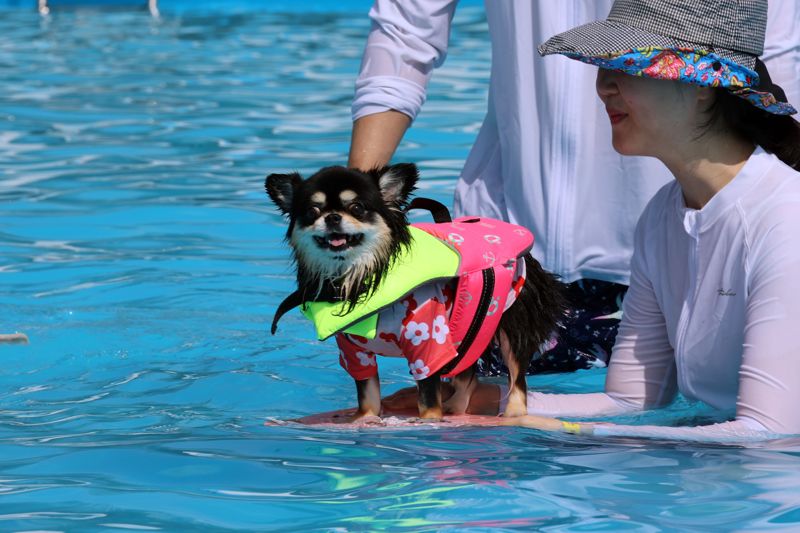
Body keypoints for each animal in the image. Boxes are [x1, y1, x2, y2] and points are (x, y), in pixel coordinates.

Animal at [266, 162, 564, 420]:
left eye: (358, 207)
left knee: (517, 375)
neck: (359, 275)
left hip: (511, 320)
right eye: (312, 212)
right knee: (466, 376)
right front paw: (365, 420)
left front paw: (429, 421)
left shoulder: (428, 343)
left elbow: (428, 397)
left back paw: (513, 413)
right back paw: (456, 408)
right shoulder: (355, 352)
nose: (332, 217)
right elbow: (368, 395)